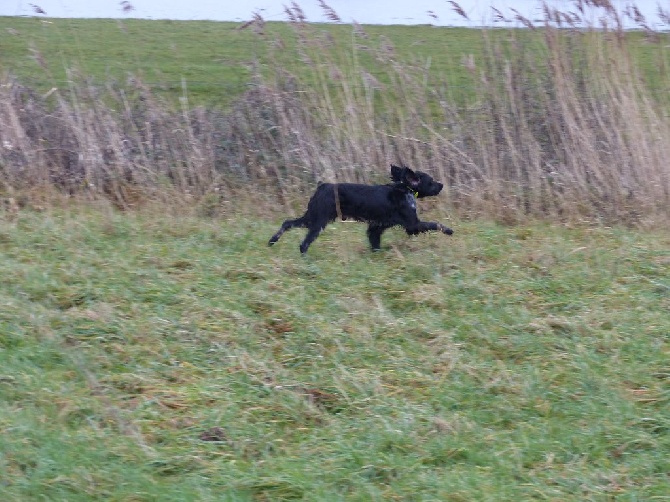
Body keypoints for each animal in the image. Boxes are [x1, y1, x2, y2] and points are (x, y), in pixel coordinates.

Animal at [270, 164, 454, 253]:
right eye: (431, 181)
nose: (442, 185)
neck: (405, 190)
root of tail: (322, 186)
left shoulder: (376, 227)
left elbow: (375, 243)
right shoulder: (412, 225)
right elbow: (434, 224)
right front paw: (449, 230)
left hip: (312, 217)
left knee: (287, 223)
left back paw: (272, 240)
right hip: (318, 221)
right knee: (304, 243)